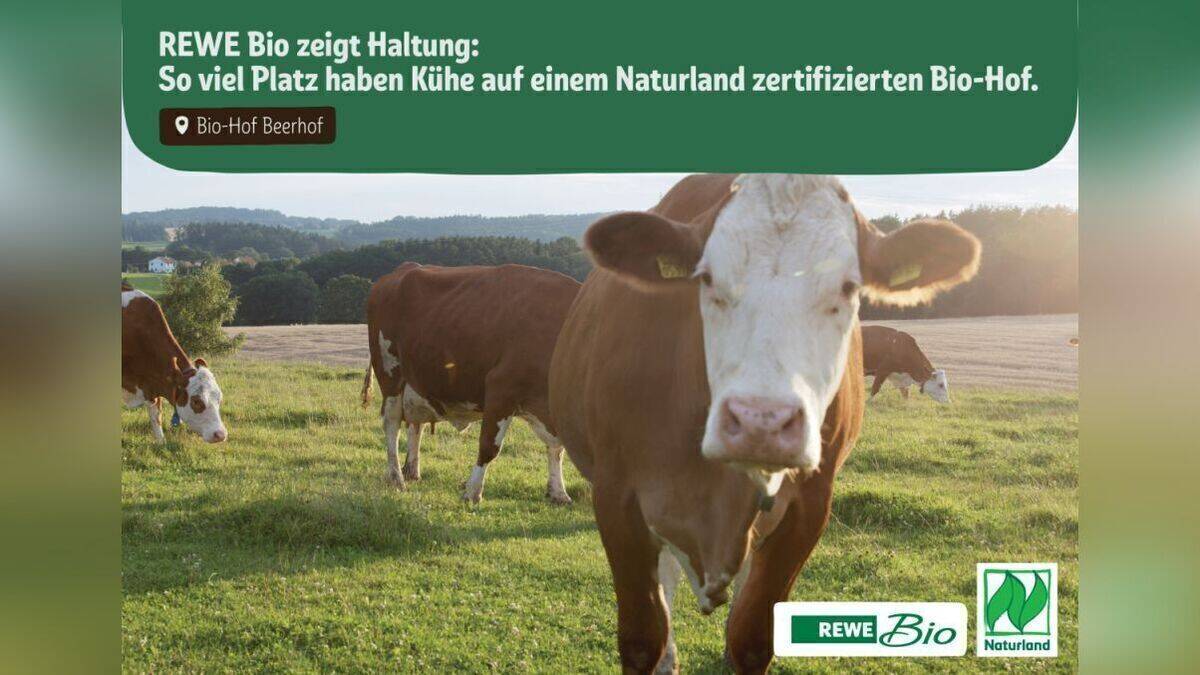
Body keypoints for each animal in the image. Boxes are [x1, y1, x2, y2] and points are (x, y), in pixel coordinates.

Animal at [121, 283, 228, 443]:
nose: (220, 435)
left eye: (219, 399)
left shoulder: (155, 383)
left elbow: (156, 416)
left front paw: (161, 443)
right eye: (196, 401)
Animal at [362, 263, 581, 504]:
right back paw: (396, 478)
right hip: (390, 371)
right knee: (391, 422)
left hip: (416, 379)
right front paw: (472, 491)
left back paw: (412, 471)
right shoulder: (500, 389)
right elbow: (489, 447)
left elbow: (557, 447)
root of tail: (403, 269)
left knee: (414, 425)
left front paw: (559, 492)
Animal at [549, 174, 980, 674]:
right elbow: (642, 639)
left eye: (849, 287)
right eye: (706, 277)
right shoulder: (616, 497)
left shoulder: (808, 507)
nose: (763, 423)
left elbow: (752, 638)